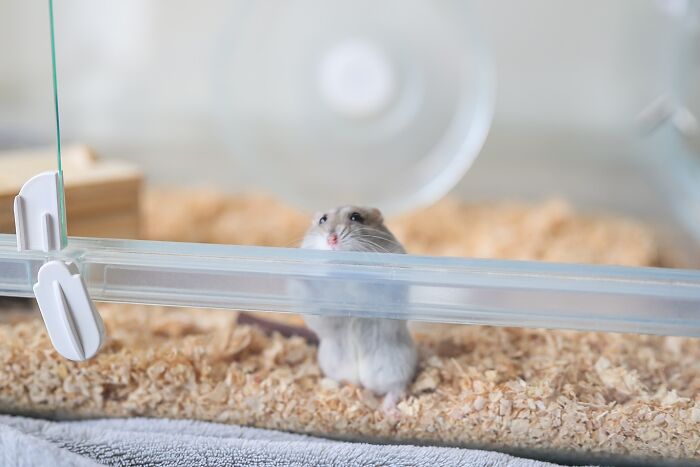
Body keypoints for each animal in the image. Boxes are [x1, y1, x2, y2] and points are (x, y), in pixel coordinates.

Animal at [300, 206, 417, 411]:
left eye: (356, 217)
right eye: (323, 220)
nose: (332, 239)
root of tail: (361, 380)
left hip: (397, 366)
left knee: (396, 389)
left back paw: (389, 411)